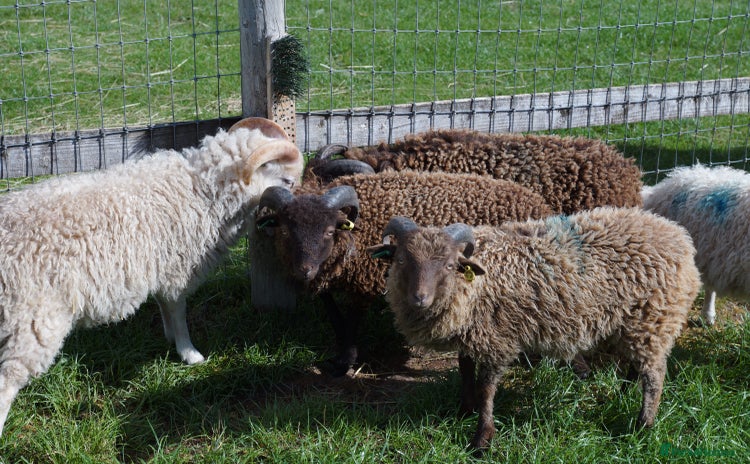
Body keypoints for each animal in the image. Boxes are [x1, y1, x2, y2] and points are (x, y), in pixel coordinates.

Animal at [0, 117, 304, 436]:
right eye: (286, 181)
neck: (200, 190)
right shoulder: (177, 270)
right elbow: (178, 312)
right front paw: (189, 353)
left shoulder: (161, 268)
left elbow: (164, 306)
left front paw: (171, 338)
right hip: (33, 321)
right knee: (7, 382)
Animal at [252, 170, 554, 375]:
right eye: (285, 231)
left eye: (328, 231)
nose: (304, 271)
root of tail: (541, 204)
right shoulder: (328, 279)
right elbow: (335, 318)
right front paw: (339, 355)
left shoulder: (363, 282)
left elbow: (352, 321)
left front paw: (347, 361)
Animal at [368, 208, 701, 451]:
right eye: (401, 260)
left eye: (449, 266)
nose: (419, 298)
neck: (474, 284)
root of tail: (680, 238)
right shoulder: (472, 335)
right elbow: (465, 370)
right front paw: (464, 409)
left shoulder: (497, 338)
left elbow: (487, 388)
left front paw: (481, 438)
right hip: (632, 322)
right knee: (637, 366)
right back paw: (621, 394)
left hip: (654, 318)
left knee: (654, 375)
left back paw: (643, 425)